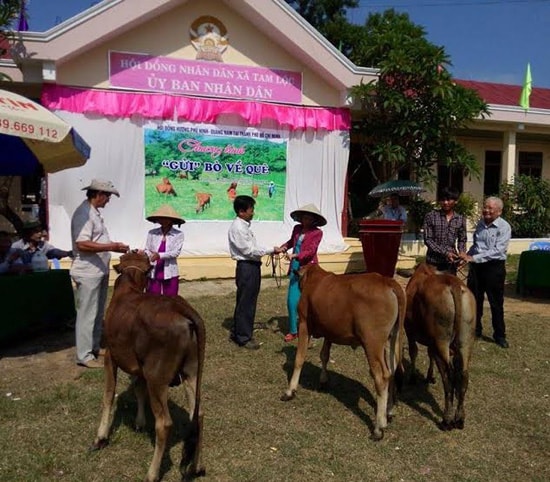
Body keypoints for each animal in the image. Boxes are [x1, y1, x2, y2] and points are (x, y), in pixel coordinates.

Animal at [92, 252, 207, 482]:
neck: (129, 285)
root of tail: (182, 309)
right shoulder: (140, 367)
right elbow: (138, 389)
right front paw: (139, 421)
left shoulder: (110, 356)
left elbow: (108, 395)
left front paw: (101, 436)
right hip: (191, 372)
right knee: (197, 414)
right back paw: (195, 467)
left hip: (157, 377)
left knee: (164, 423)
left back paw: (152, 473)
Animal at [284, 264, 406, 440]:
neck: (313, 278)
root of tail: (387, 281)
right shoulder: (329, 330)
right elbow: (324, 355)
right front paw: (323, 380)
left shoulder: (304, 324)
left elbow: (299, 358)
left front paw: (290, 390)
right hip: (391, 340)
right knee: (392, 372)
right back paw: (388, 411)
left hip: (372, 343)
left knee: (381, 377)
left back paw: (379, 426)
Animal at [406, 262, 478, 432]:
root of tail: (454, 284)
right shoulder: (430, 342)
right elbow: (429, 355)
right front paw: (430, 376)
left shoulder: (409, 332)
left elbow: (413, 353)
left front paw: (412, 378)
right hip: (466, 340)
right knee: (463, 376)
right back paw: (460, 418)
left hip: (441, 340)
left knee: (449, 378)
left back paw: (447, 420)